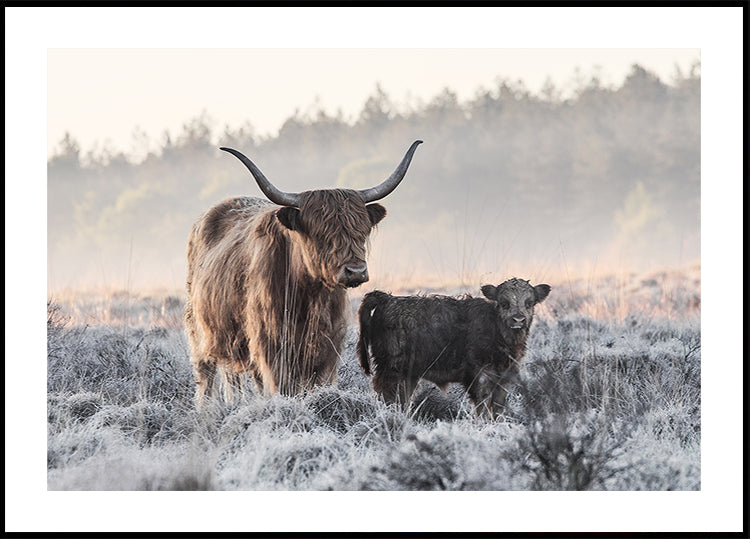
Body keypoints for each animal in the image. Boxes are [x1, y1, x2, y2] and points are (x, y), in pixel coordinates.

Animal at [185, 140, 423, 404]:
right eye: (321, 235)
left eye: (361, 231)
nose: (356, 271)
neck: (311, 296)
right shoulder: (271, 346)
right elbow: (282, 387)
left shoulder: (328, 349)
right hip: (200, 332)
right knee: (206, 377)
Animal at [356, 278, 551, 419]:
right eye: (504, 303)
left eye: (529, 303)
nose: (518, 319)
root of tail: (387, 299)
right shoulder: (479, 375)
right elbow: (482, 405)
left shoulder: (504, 377)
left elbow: (497, 407)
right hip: (391, 368)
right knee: (387, 395)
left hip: (408, 374)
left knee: (402, 398)